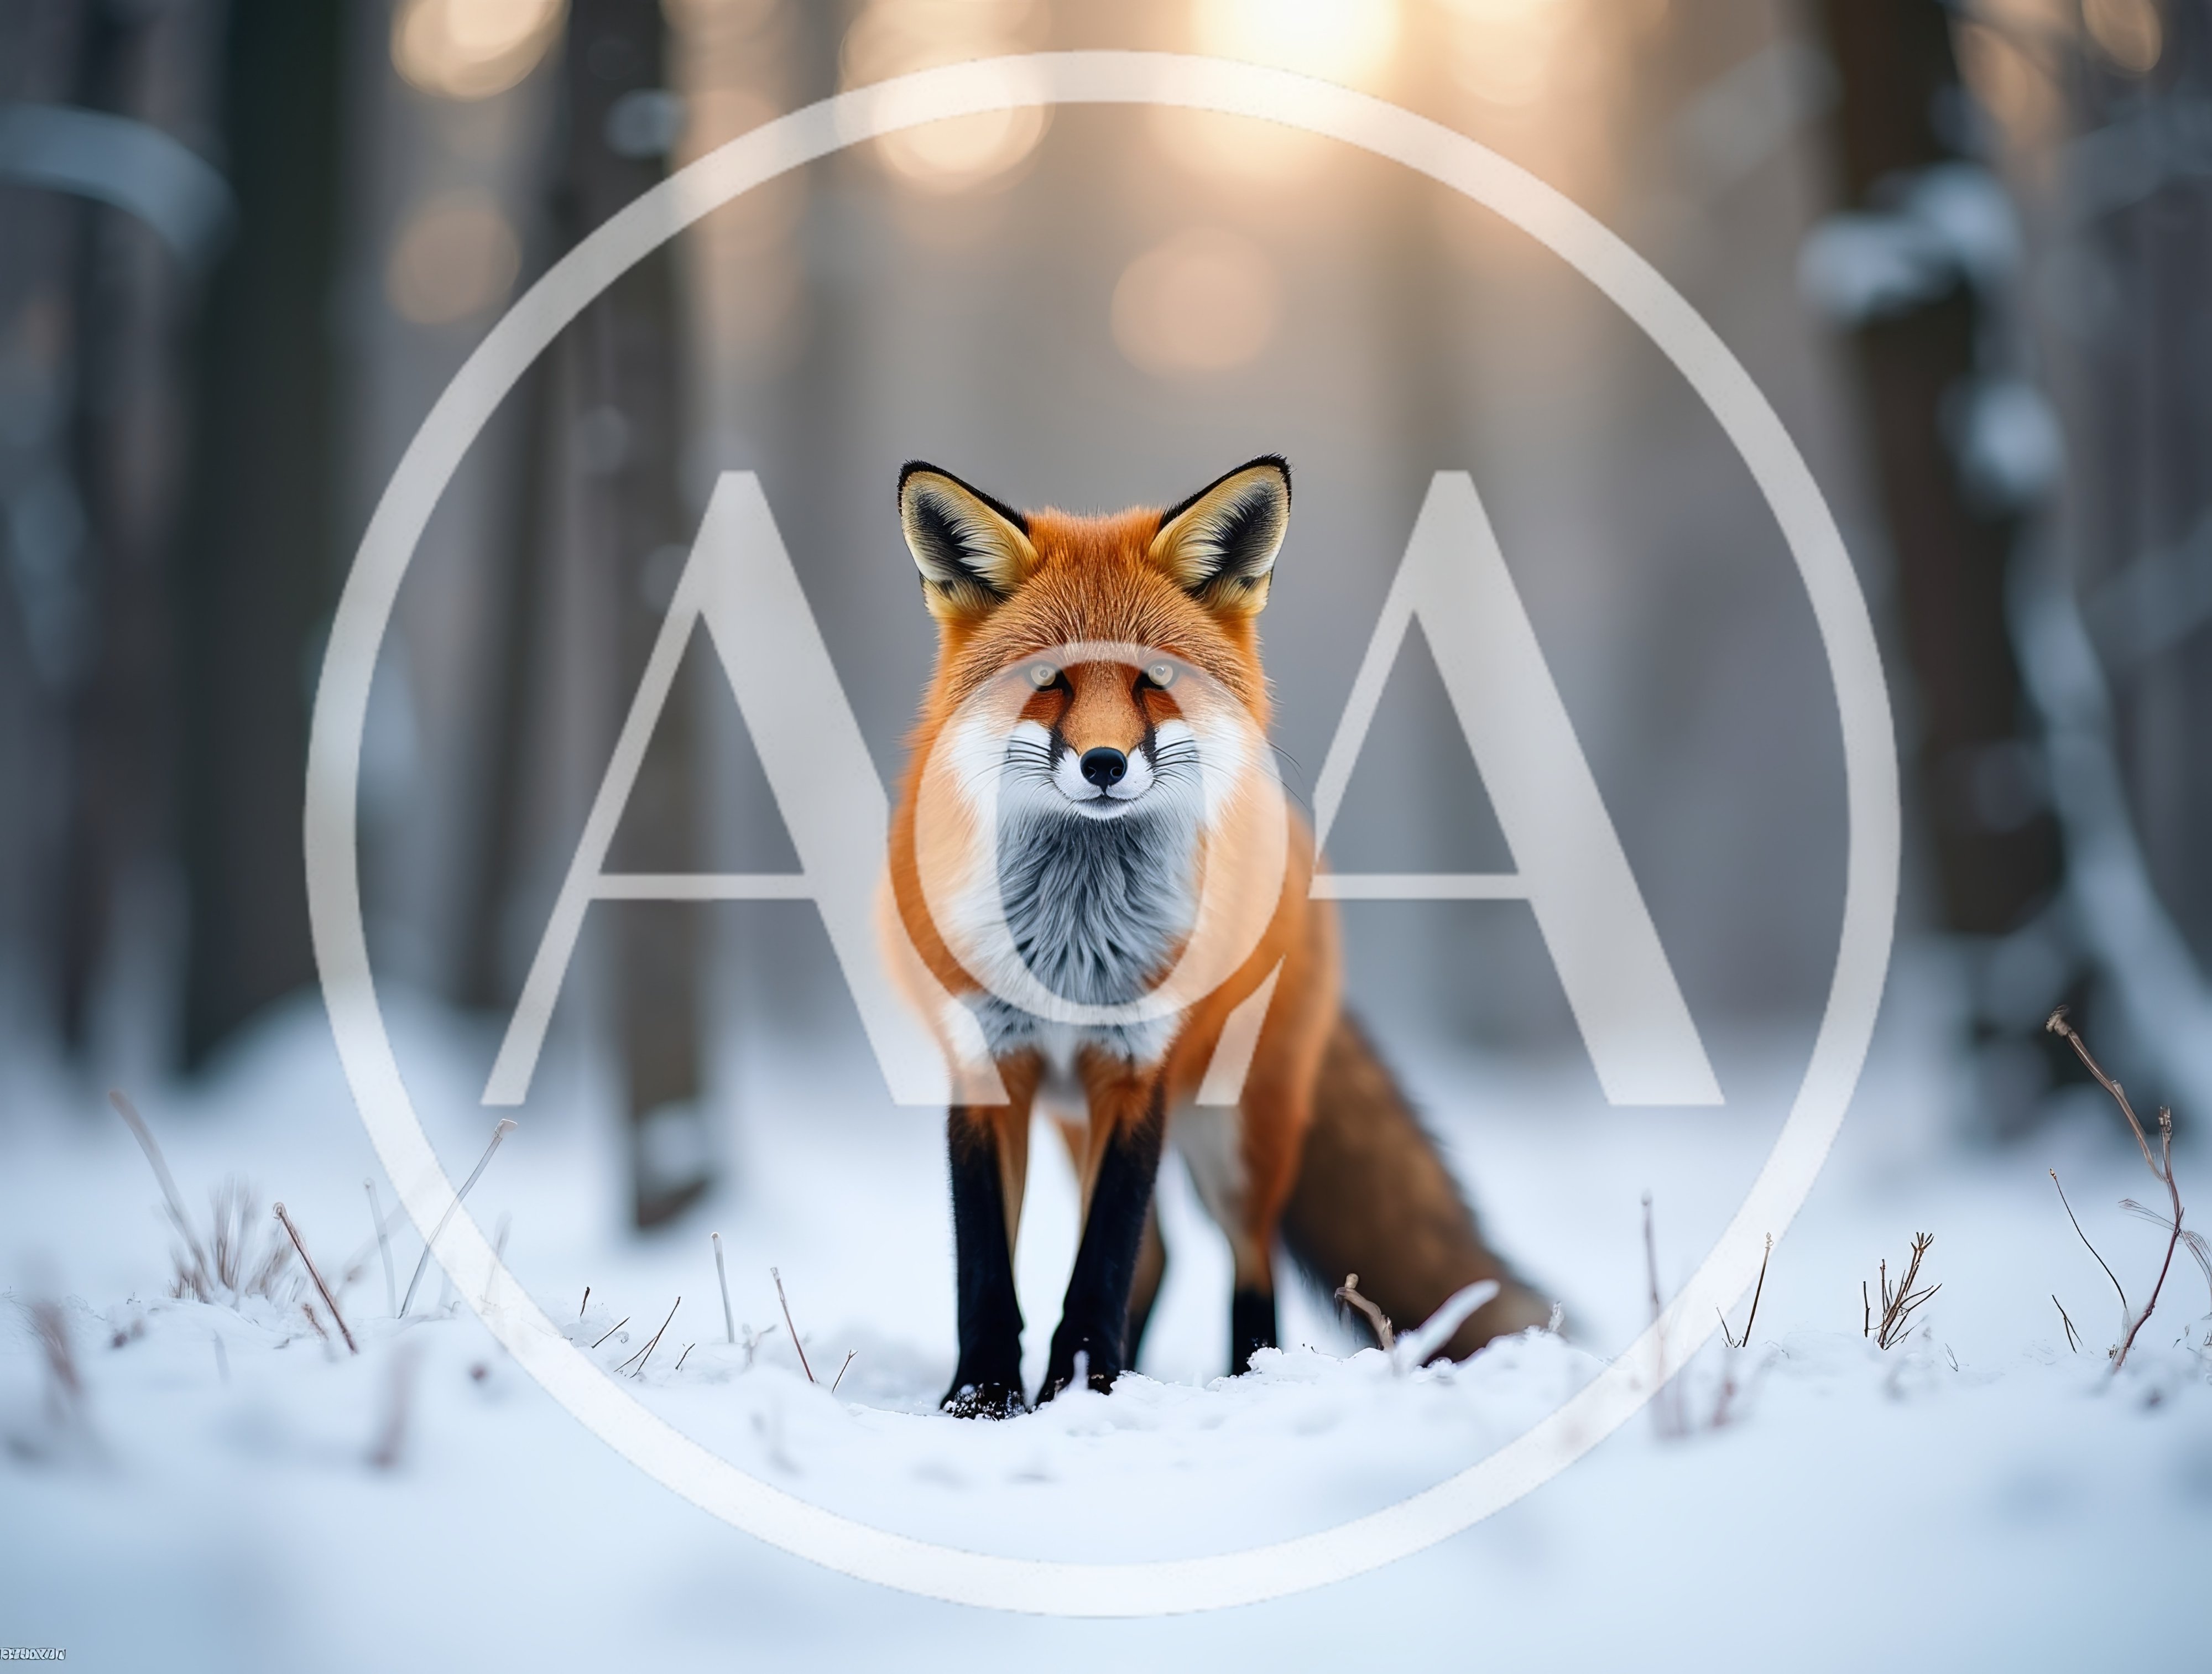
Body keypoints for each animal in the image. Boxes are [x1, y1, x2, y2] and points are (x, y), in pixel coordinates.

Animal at [886, 454, 1549, 1417]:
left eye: (1154, 675)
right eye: (1049, 678)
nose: (1104, 764)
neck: (1075, 941)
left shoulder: (1138, 1064)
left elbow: (1101, 1259)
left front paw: (1081, 1390)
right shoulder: (987, 1056)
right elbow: (987, 1267)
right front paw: (986, 1399)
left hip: (1240, 1131)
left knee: (1247, 1259)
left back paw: (1247, 1383)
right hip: (1077, 1116)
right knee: (1162, 1255)